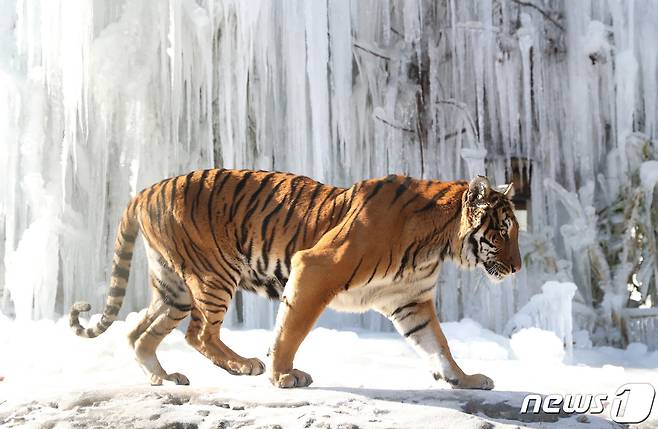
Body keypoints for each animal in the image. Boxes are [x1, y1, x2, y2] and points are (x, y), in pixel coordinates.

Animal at [69, 169, 520, 390]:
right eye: (501, 231)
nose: (517, 268)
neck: (438, 243)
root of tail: (143, 191)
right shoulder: (316, 268)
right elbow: (291, 330)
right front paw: (283, 375)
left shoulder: (410, 301)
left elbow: (438, 346)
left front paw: (465, 379)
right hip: (214, 274)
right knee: (199, 333)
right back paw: (243, 365)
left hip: (174, 289)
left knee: (138, 334)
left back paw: (163, 378)